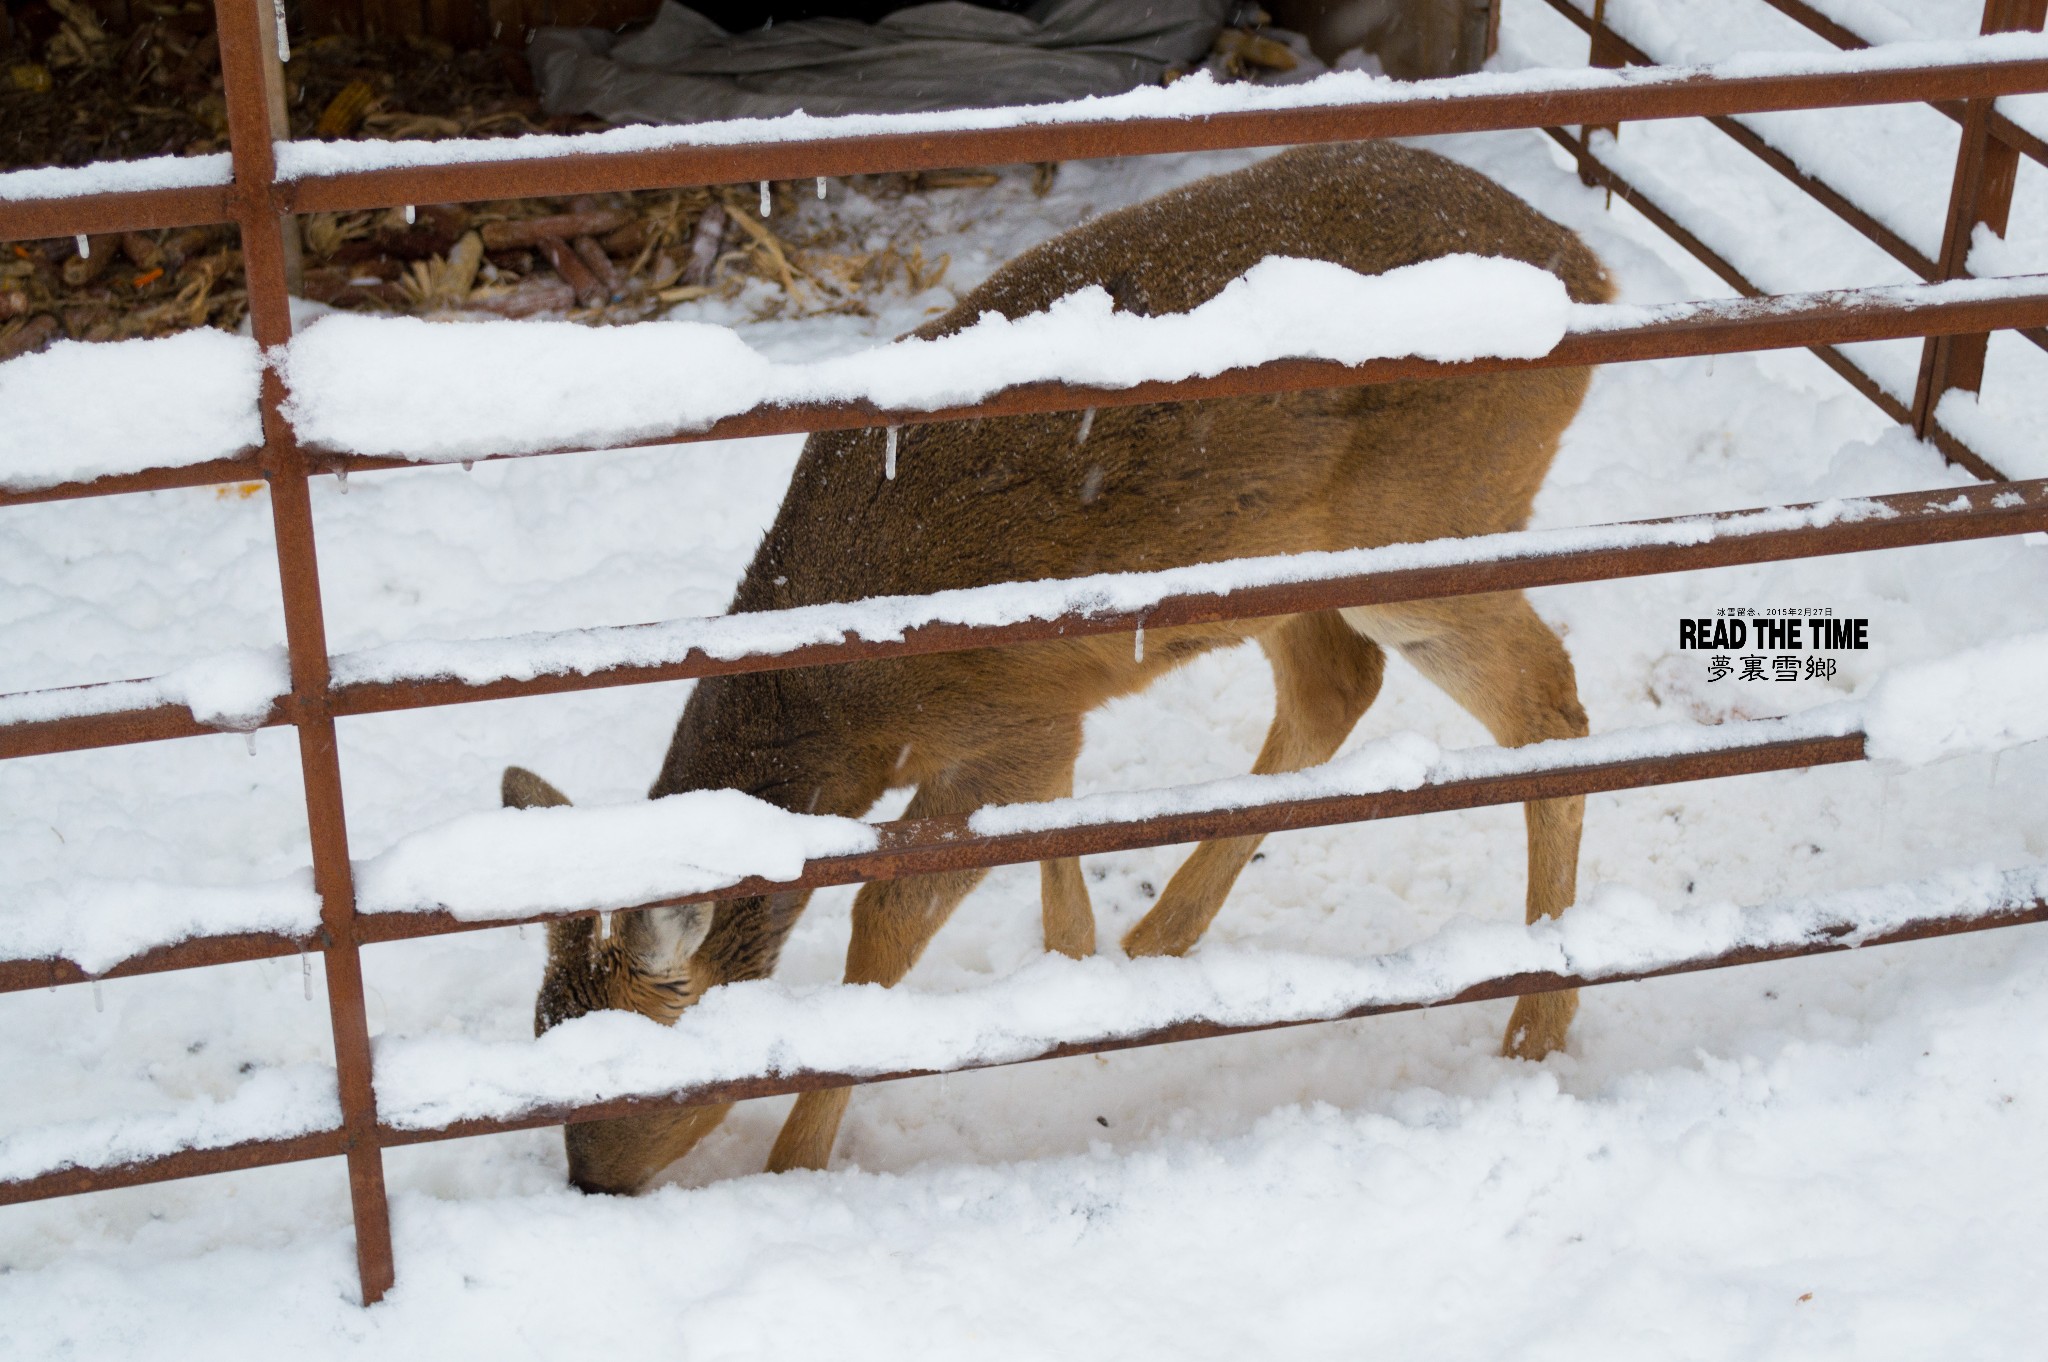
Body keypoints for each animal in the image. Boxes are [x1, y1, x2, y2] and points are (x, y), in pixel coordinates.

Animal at [503, 140, 1605, 1187]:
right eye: (539, 1035)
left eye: (636, 1082)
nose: (591, 1186)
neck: (846, 712)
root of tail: (1589, 271)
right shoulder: (1045, 718)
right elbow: (1055, 823)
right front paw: (1073, 962)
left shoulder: (1001, 721)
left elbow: (886, 912)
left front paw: (795, 1162)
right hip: (1289, 561)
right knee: (1336, 687)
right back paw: (1158, 939)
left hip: (1430, 527)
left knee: (1546, 709)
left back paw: (1533, 1029)